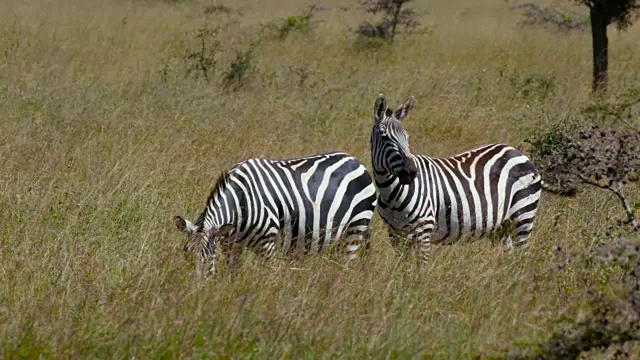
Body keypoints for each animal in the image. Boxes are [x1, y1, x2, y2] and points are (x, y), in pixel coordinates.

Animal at [172, 150, 378, 274]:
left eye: (208, 258)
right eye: (186, 254)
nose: (197, 292)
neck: (241, 203)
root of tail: (355, 160)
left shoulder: (268, 245)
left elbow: (268, 278)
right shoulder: (231, 246)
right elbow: (232, 276)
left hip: (356, 227)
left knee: (348, 263)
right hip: (337, 234)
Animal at [370, 94, 540, 260]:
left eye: (407, 137)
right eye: (384, 137)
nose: (411, 172)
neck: (390, 194)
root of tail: (515, 151)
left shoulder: (423, 230)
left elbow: (421, 267)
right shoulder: (396, 234)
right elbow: (403, 267)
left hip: (523, 216)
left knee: (522, 256)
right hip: (501, 226)